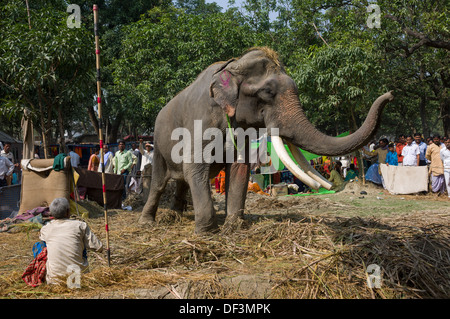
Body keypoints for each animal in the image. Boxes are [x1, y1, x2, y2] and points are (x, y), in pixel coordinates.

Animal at [138, 46, 394, 234]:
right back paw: (148, 222)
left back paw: (174, 216)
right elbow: (196, 166)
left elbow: (239, 168)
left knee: (181, 180)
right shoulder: (200, 120)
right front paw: (206, 232)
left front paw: (233, 227)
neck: (231, 66)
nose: (390, 94)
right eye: (268, 93)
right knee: (160, 182)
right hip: (158, 144)